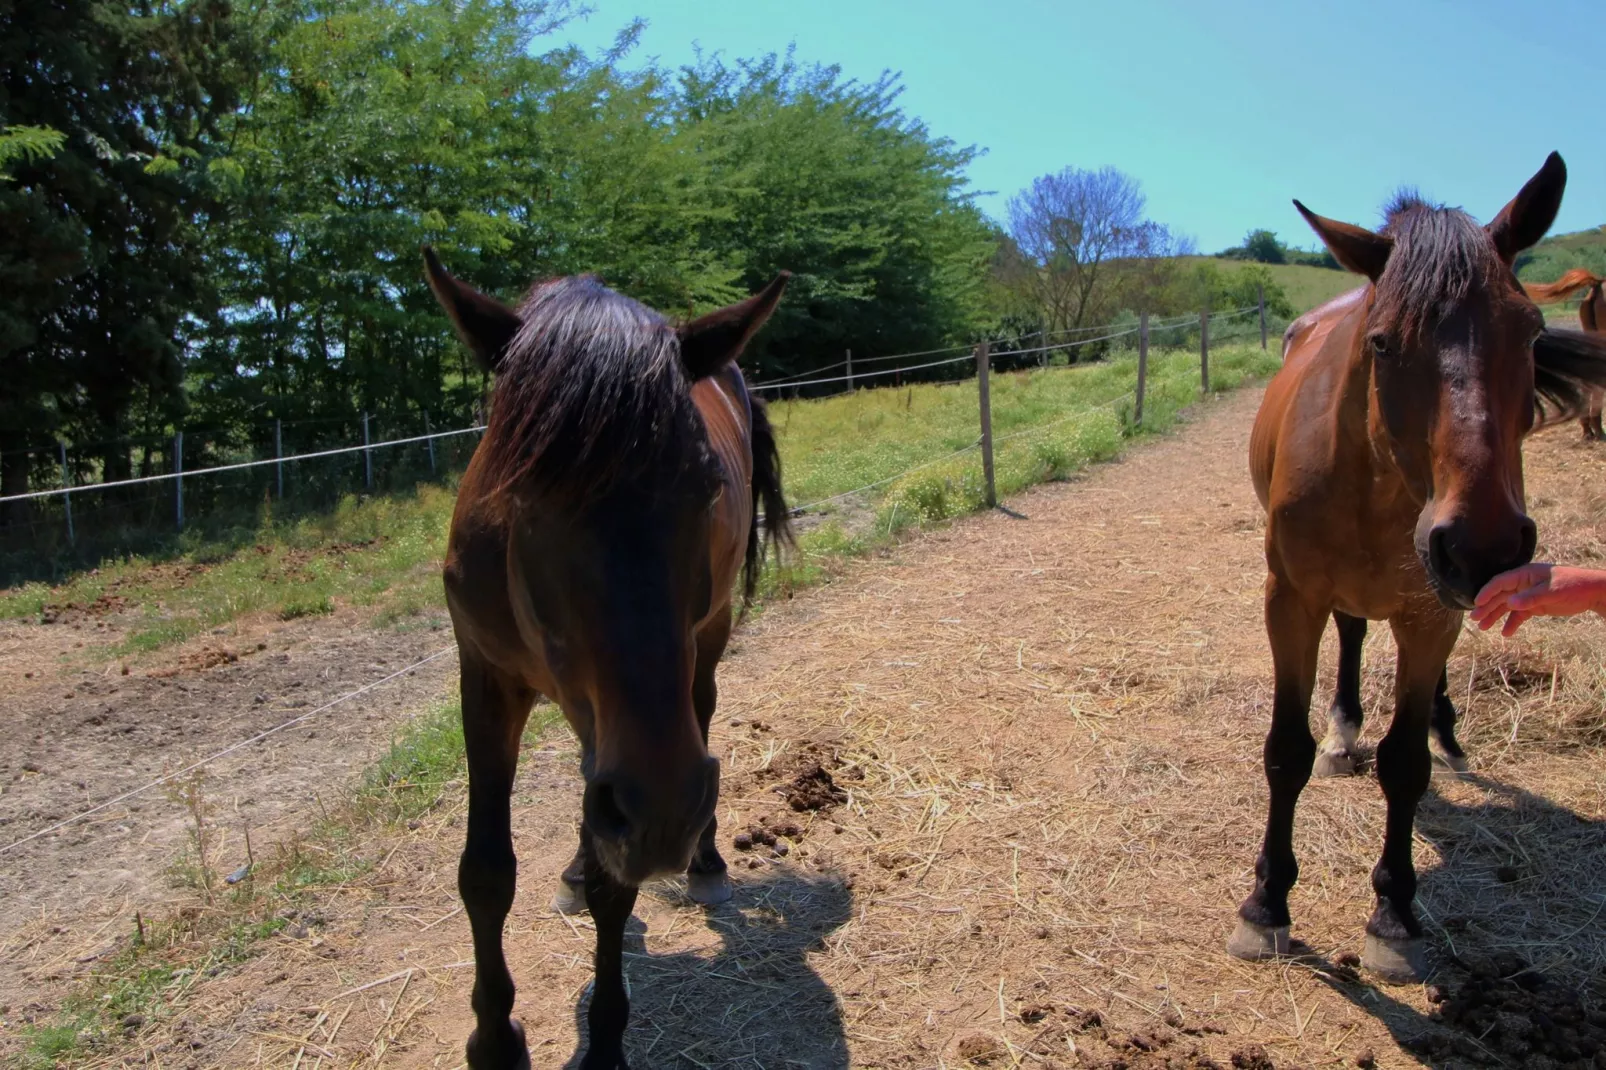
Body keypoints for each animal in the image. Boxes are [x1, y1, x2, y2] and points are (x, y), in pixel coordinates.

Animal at [423, 245, 793, 1060]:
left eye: (708, 486)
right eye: (521, 495)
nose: (666, 815)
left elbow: (613, 885)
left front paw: (605, 1041)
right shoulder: (485, 677)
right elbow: (484, 872)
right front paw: (494, 1039)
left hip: (705, 643)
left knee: (701, 710)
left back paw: (706, 861)